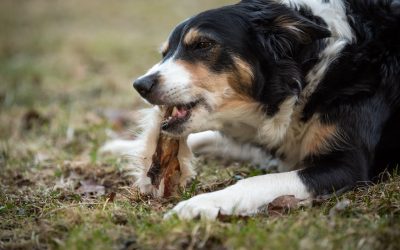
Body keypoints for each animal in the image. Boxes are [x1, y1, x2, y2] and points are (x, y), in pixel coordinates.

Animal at [101, 0, 398, 219]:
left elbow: (258, 181)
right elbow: (208, 137)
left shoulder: (349, 166)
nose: (140, 85)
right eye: (165, 53)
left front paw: (201, 204)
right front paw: (124, 147)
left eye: (203, 45)